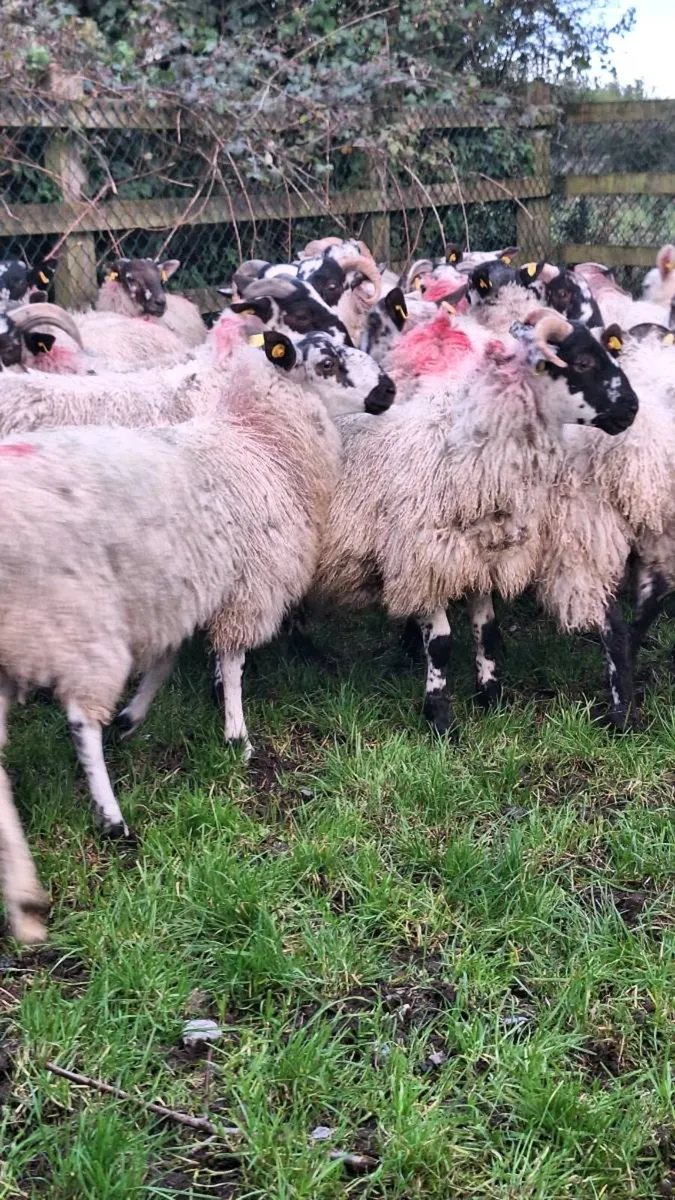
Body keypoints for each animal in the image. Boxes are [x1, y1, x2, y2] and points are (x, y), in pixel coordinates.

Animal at [0, 328, 394, 944]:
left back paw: (23, 899)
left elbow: (166, 660)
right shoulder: (246, 583)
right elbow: (231, 661)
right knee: (80, 719)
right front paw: (237, 735)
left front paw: (135, 716)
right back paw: (111, 819)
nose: (391, 389)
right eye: (327, 360)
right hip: (79, 619)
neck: (255, 439)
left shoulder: (183, 586)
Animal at [309, 312, 638, 735]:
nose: (632, 408)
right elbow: (442, 643)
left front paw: (491, 696)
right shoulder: (426, 559)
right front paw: (439, 718)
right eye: (582, 362)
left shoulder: (481, 555)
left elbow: (488, 631)